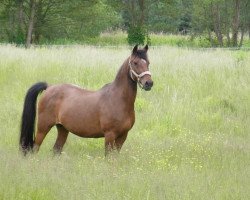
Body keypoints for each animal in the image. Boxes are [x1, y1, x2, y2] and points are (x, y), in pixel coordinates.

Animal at [19, 44, 153, 155]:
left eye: (148, 63)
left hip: (62, 129)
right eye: (135, 63)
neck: (118, 100)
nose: (149, 83)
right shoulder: (110, 135)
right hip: (43, 127)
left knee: (56, 150)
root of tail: (49, 87)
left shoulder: (123, 136)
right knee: (35, 148)